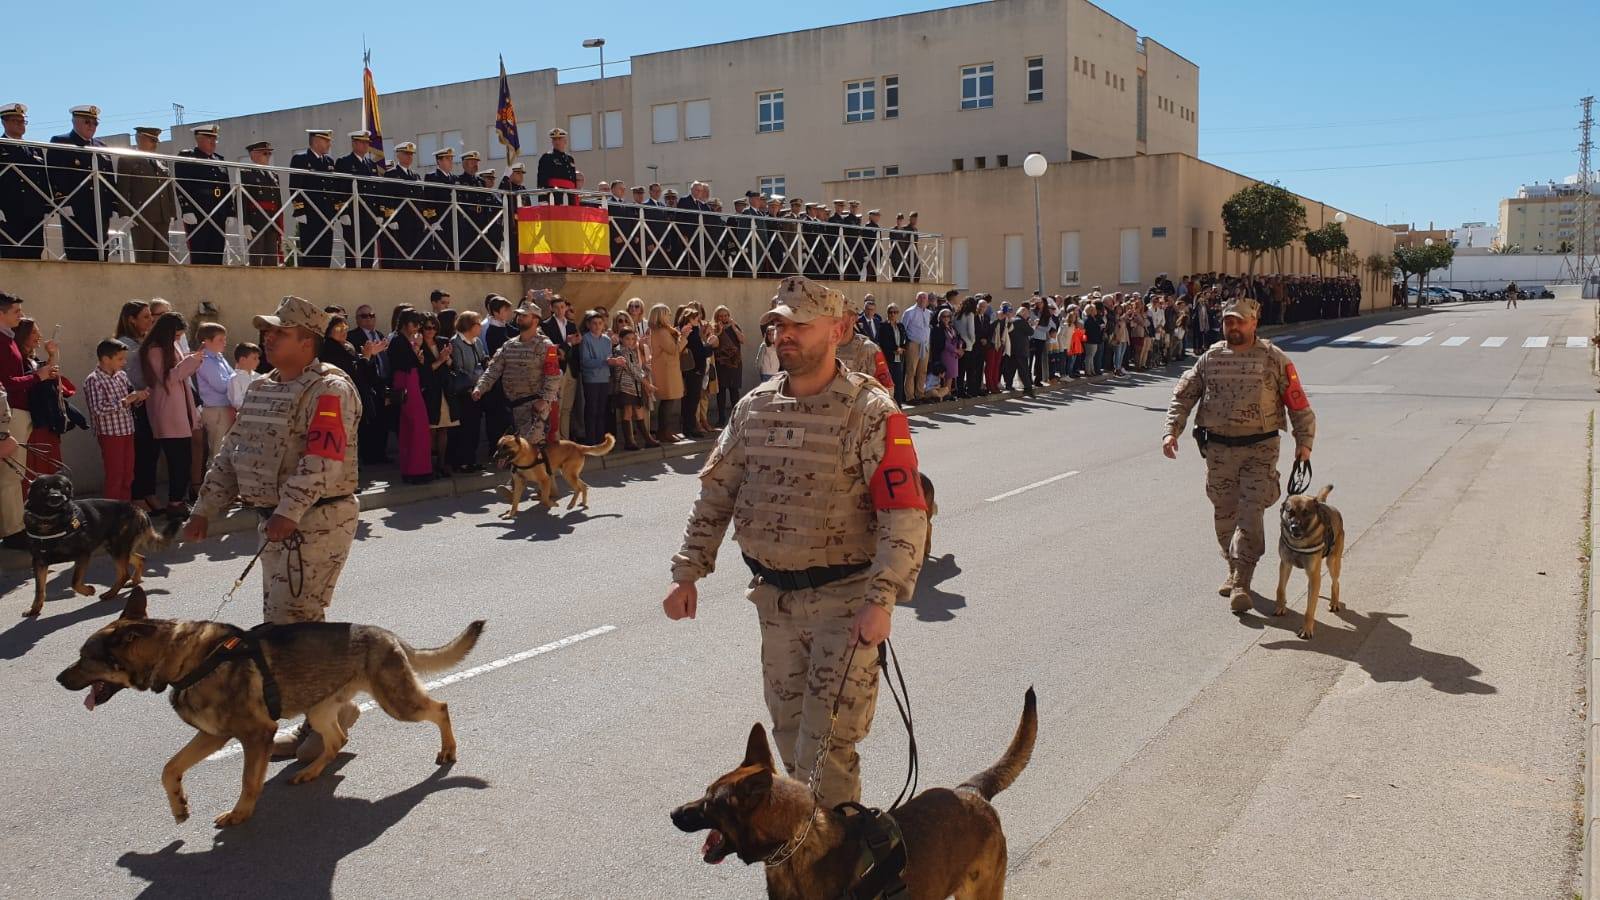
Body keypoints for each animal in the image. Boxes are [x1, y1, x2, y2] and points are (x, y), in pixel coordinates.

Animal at [21, 470, 176, 614]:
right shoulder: (39, 562)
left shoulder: (83, 555)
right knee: (140, 559)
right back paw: (134, 582)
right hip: (116, 548)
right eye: (45, 487)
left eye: (62, 487)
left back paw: (110, 593)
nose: (57, 497)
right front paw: (35, 609)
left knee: (124, 573)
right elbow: (39, 589)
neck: (49, 520)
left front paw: (88, 590)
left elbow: (75, 582)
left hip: (117, 548)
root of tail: (139, 509)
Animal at [58, 589, 480, 826]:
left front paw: (240, 814)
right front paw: (179, 806)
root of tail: (388, 634)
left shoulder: (254, 735)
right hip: (319, 710)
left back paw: (448, 750)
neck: (186, 659)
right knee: (337, 739)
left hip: (398, 702)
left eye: (85, 658)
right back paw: (310, 772)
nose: (59, 679)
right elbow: (169, 769)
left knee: (440, 707)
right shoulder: (212, 736)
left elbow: (248, 780)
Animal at [1280, 483, 1344, 637]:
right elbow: (1280, 588)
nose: (1294, 527)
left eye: (1306, 512)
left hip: (1332, 562)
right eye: (1290, 511)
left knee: (1335, 582)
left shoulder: (1314, 573)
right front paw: (1281, 605)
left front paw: (1307, 629)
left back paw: (1334, 602)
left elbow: (1310, 609)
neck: (1299, 542)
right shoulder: (1285, 564)